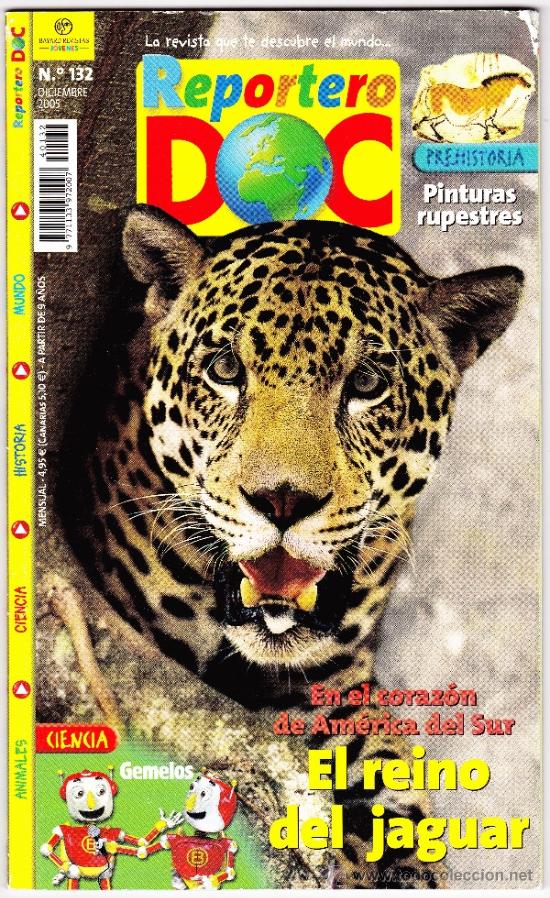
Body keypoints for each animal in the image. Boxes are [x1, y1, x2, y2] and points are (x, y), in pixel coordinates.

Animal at [59, 204, 522, 888]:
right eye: (225, 369)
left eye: (367, 382)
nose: (281, 500)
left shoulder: (338, 675)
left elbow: (380, 756)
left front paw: (401, 854)